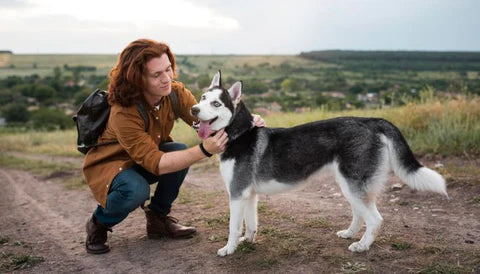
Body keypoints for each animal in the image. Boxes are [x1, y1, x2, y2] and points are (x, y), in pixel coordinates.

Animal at [190, 71, 446, 256]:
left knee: (375, 219)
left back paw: (362, 246)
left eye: (216, 104)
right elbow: (250, 223)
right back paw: (350, 234)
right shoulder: (248, 195)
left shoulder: (236, 193)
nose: (193, 109)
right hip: (349, 185)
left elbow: (233, 227)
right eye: (203, 98)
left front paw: (229, 249)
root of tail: (372, 120)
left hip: (352, 184)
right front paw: (248, 241)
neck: (239, 133)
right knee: (360, 213)